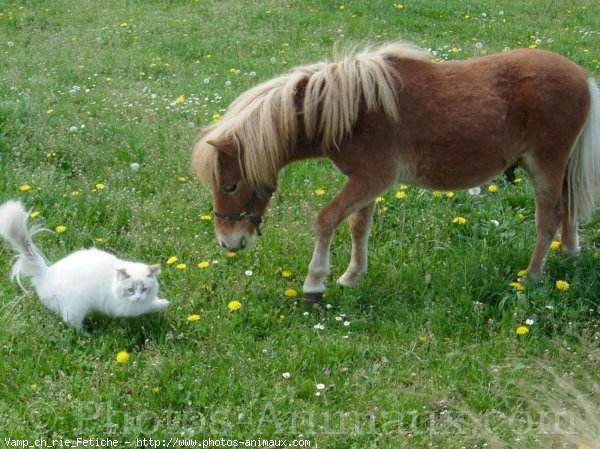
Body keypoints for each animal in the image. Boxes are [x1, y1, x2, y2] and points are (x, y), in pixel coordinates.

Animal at [0, 200, 169, 328]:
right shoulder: (127, 308)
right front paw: (164, 303)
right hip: (76, 308)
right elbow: (150, 306)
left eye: (145, 289)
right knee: (73, 324)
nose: (139, 297)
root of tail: (45, 273)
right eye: (130, 290)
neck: (113, 282)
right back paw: (86, 335)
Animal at [193, 42, 600, 302]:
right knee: (567, 209)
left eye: (230, 186)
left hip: (545, 165)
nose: (228, 243)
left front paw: (314, 283)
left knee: (548, 218)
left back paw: (532, 277)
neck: (353, 110)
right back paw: (568, 254)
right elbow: (358, 226)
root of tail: (582, 76)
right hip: (558, 167)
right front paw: (352, 276)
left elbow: (326, 220)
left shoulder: (371, 179)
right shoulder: (366, 183)